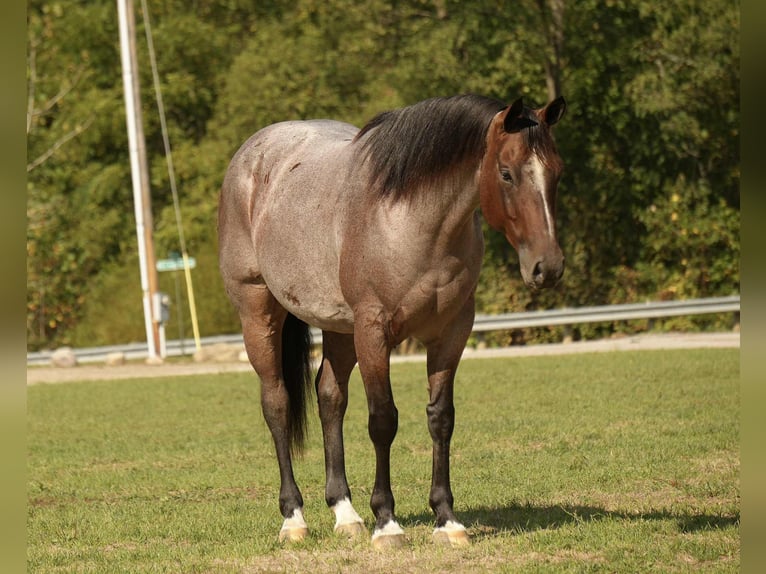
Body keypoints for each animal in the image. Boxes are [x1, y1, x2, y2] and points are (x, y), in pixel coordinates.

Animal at [218, 93, 567, 548]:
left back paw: (345, 513)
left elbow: (441, 418)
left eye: (557, 172)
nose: (549, 267)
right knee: (276, 404)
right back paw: (294, 518)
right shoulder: (373, 332)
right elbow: (383, 420)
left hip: (339, 328)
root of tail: (250, 156)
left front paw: (446, 519)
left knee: (330, 398)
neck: (410, 221)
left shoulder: (451, 333)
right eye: (506, 173)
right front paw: (386, 522)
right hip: (259, 313)